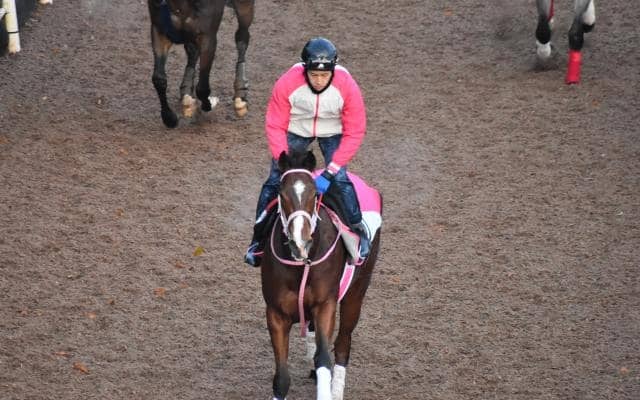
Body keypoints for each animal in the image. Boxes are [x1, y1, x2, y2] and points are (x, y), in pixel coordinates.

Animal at [260, 150, 381, 400]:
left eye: (315, 194)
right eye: (280, 194)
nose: (300, 243)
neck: (300, 266)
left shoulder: (326, 304)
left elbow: (324, 357)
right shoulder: (276, 313)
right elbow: (282, 378)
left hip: (356, 292)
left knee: (343, 343)